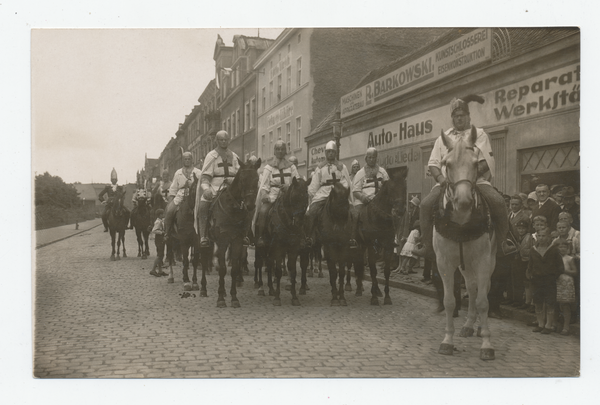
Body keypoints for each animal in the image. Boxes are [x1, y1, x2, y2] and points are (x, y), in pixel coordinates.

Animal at [200, 158, 262, 306]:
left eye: (257, 179)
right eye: (243, 179)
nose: (250, 205)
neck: (232, 208)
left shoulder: (237, 241)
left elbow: (234, 268)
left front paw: (234, 297)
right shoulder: (223, 241)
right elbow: (222, 269)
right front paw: (220, 299)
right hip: (204, 241)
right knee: (204, 261)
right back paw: (203, 289)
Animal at [352, 172, 408, 304]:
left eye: (404, 188)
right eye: (391, 189)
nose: (400, 211)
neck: (379, 218)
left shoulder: (387, 247)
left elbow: (386, 271)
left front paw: (387, 297)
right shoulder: (372, 247)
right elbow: (373, 271)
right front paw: (373, 298)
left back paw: (375, 290)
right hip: (359, 247)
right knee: (358, 264)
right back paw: (359, 289)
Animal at [434, 127, 494, 360]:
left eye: (476, 163)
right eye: (447, 164)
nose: (464, 201)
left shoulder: (484, 261)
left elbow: (483, 302)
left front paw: (487, 344)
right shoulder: (444, 263)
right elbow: (449, 301)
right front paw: (447, 342)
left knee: (482, 290)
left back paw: (477, 328)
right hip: (465, 265)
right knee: (471, 287)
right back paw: (468, 325)